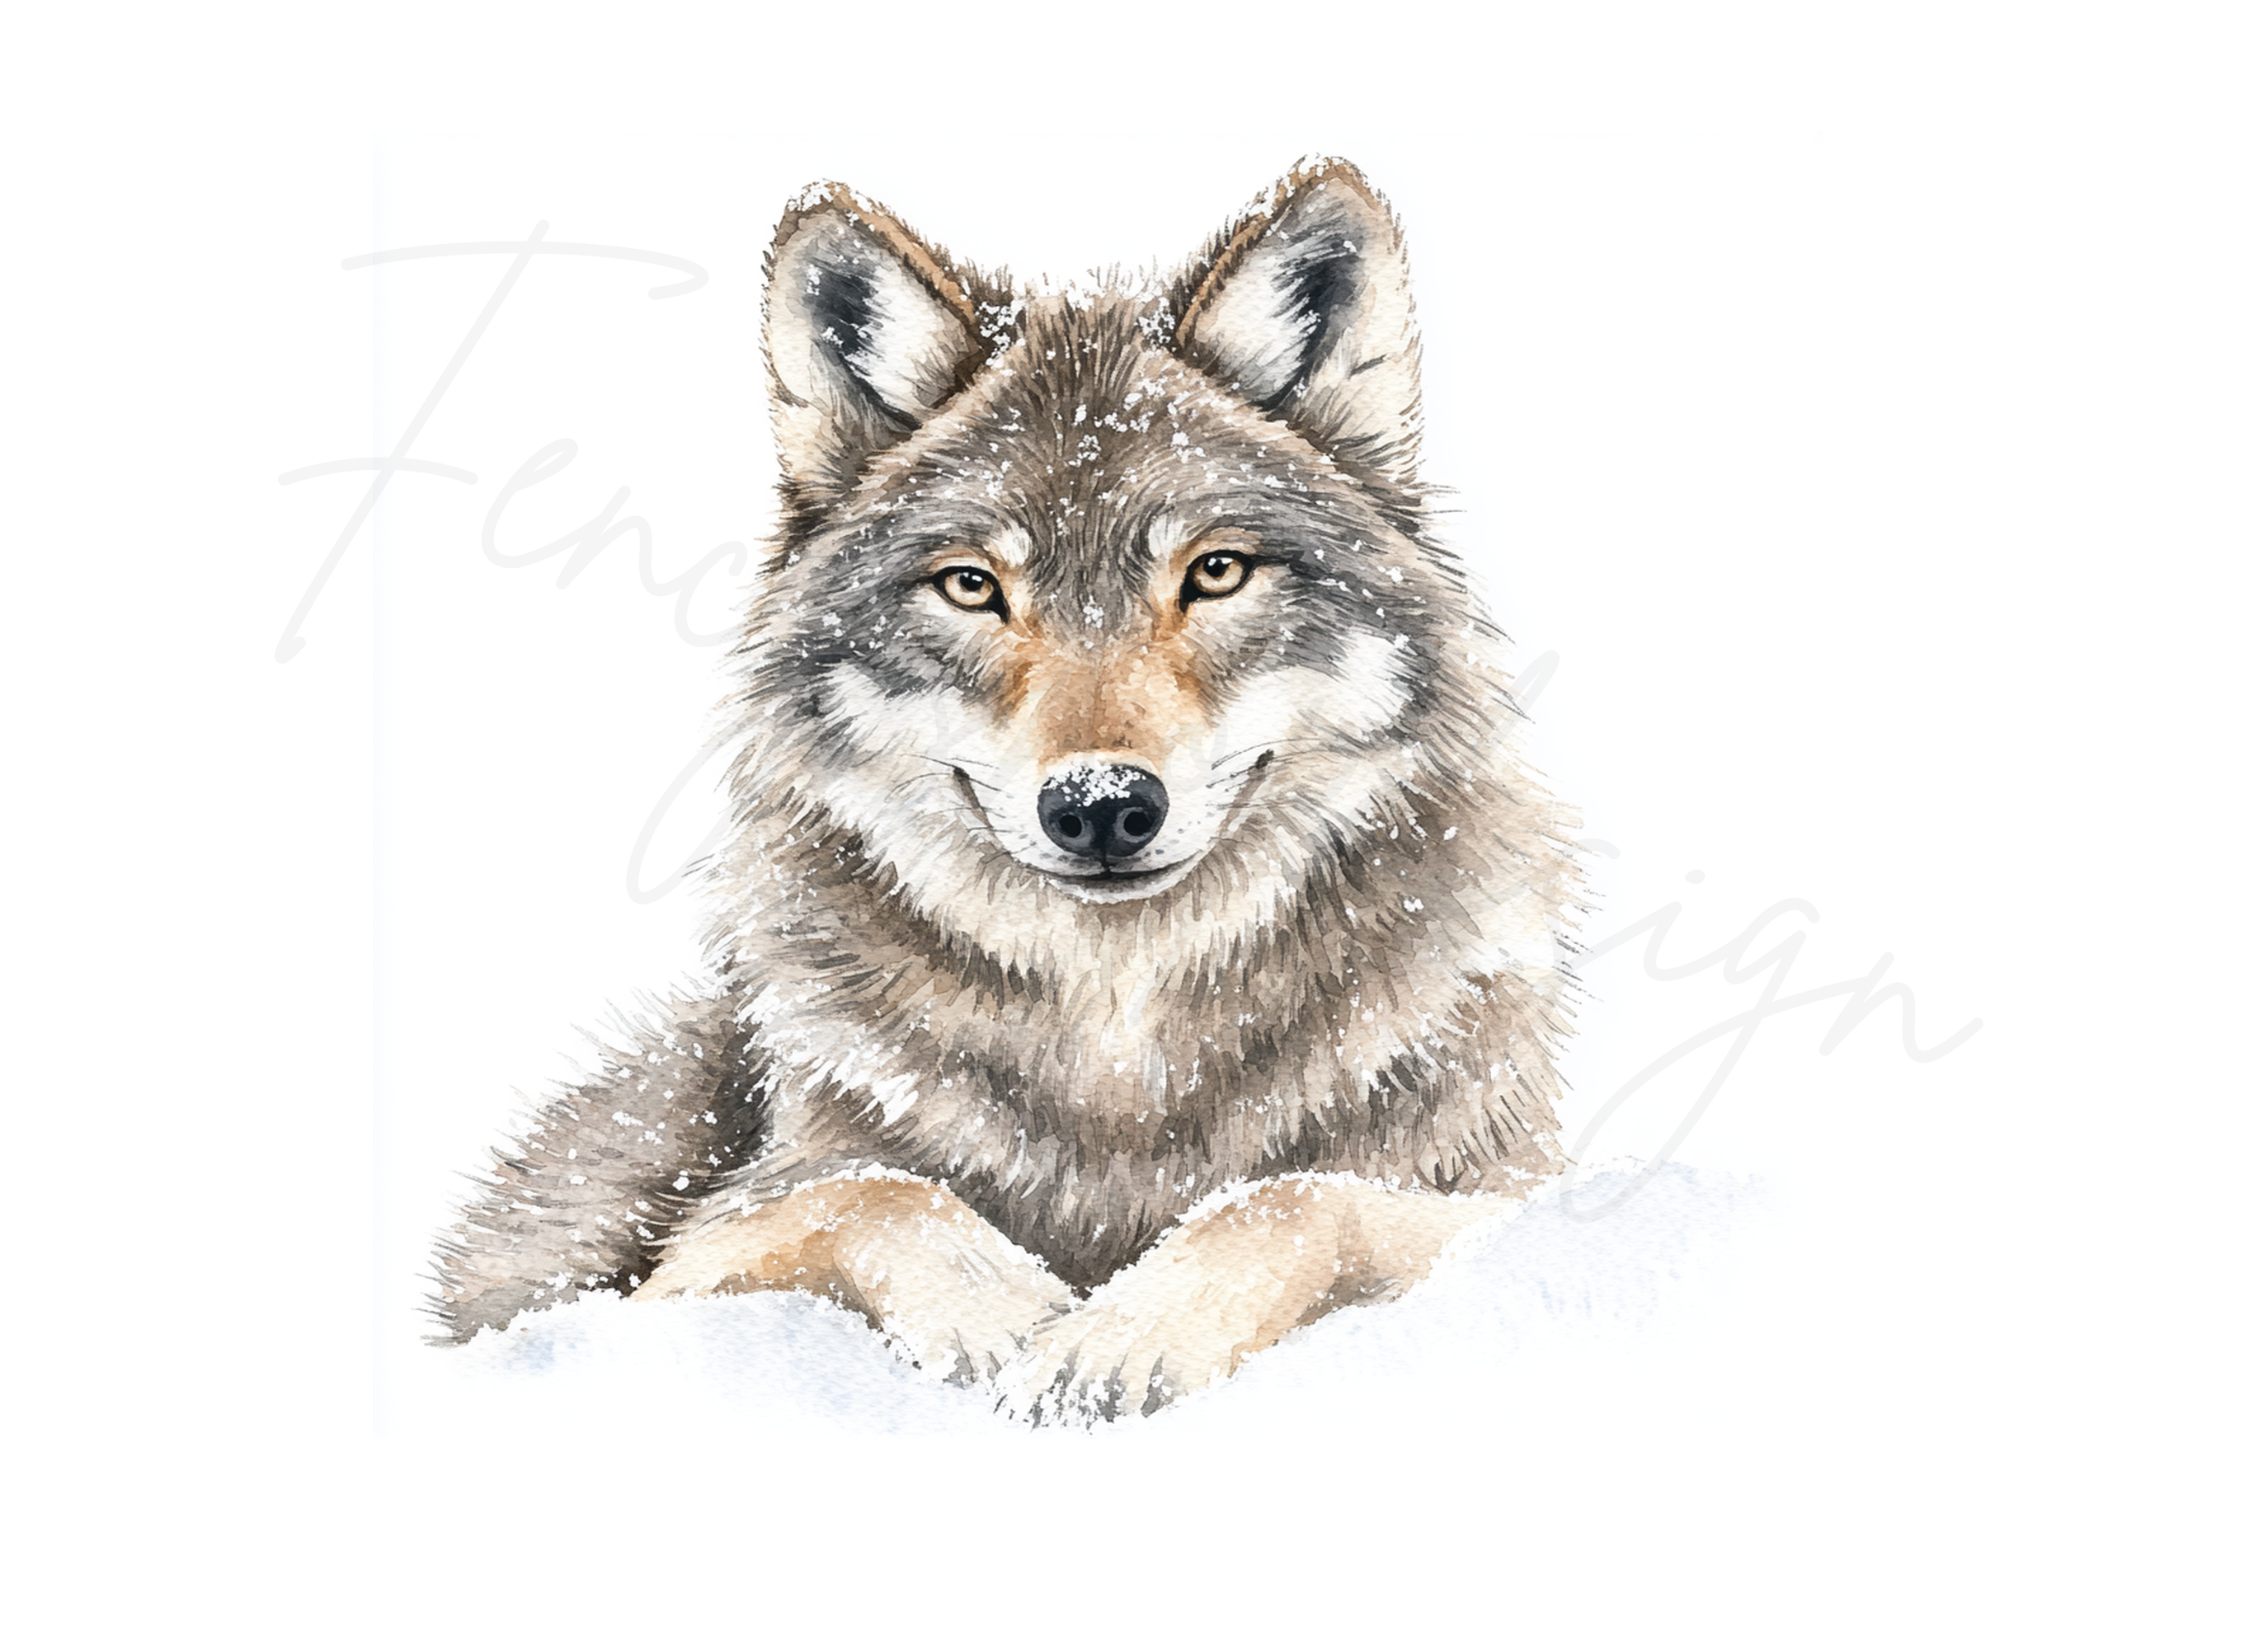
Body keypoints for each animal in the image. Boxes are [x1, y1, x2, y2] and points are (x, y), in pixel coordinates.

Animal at [431, 158, 1584, 1422]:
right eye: (972, 586)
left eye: (1215, 572)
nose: (1101, 803)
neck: (1122, 1052)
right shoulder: (675, 1266)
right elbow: (869, 1190)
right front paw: (1012, 1316)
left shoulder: (1515, 1194)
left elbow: (1286, 1196)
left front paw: (1121, 1339)